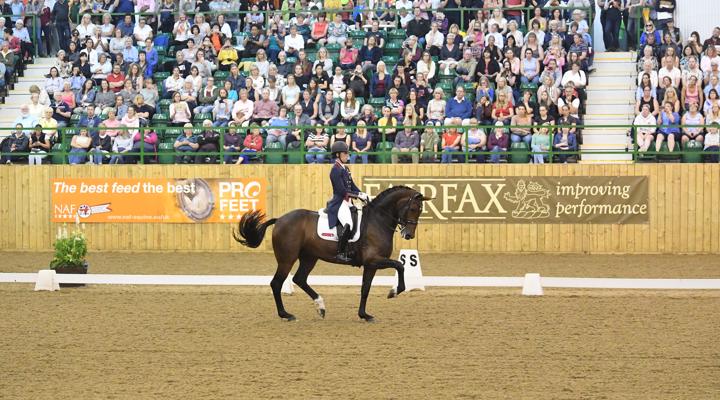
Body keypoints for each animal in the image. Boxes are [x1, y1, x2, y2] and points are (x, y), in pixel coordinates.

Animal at [235, 187, 428, 322]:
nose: (409, 235)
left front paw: (364, 315)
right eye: (413, 208)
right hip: (287, 259)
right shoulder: (374, 260)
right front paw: (394, 292)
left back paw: (320, 307)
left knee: (299, 279)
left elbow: (365, 289)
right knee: (277, 283)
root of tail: (280, 219)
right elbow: (400, 265)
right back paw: (286, 314)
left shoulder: (371, 264)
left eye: (419, 210)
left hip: (309, 257)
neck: (377, 221)